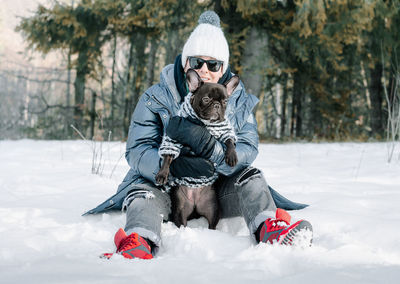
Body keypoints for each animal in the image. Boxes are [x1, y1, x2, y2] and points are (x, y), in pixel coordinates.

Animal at [155, 69, 238, 231]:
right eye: (206, 99)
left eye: (225, 101)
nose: (217, 105)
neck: (205, 123)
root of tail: (195, 202)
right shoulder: (173, 138)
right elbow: (168, 157)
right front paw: (162, 174)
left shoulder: (224, 128)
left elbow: (230, 140)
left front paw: (231, 156)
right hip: (181, 208)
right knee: (182, 221)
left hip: (212, 207)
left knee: (212, 224)